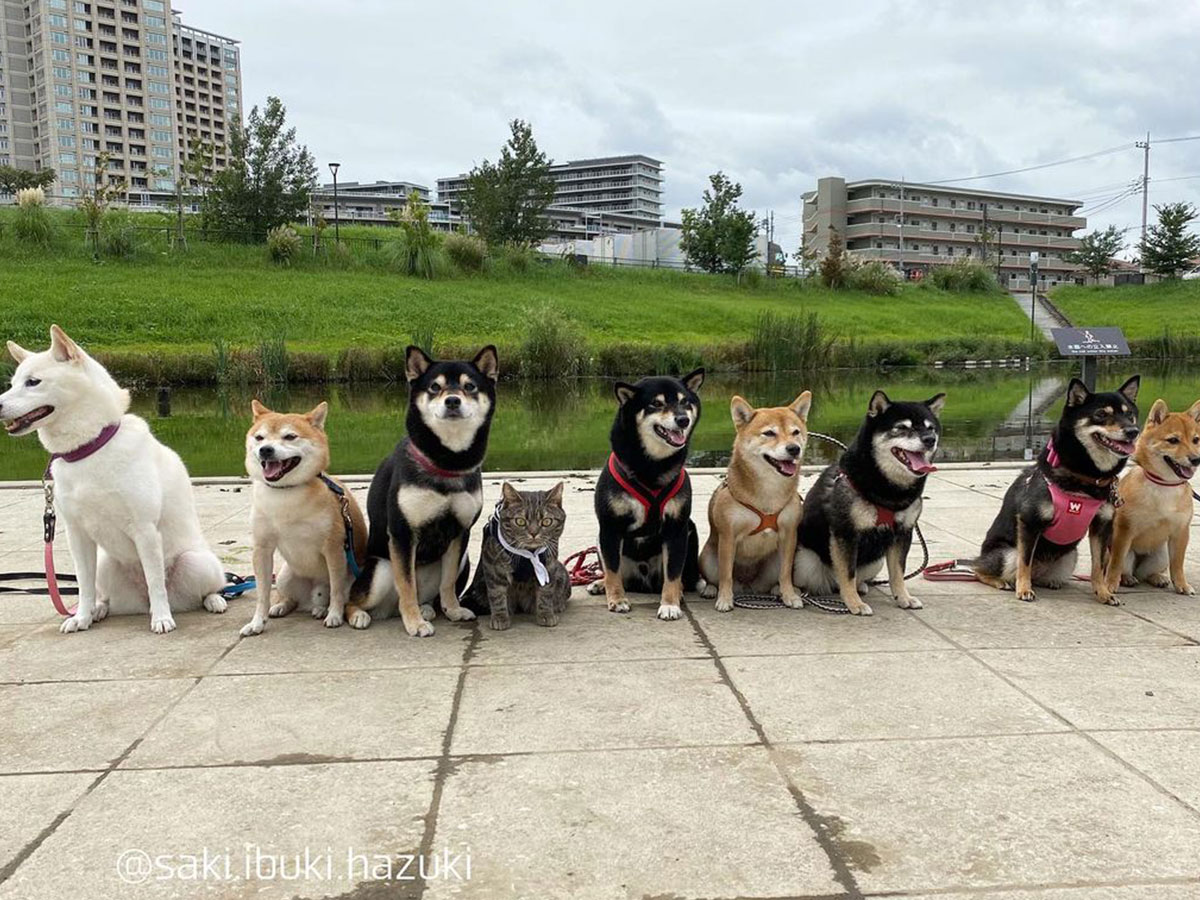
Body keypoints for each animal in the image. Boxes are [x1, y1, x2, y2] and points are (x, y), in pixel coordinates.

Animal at [0, 324, 226, 633]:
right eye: (12, 384)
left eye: (33, 382)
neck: (89, 449)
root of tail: (140, 602)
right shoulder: (77, 535)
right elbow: (83, 585)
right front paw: (82, 616)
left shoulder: (145, 530)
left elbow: (155, 582)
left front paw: (162, 618)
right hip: (106, 566)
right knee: (105, 595)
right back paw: (99, 610)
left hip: (196, 562)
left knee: (202, 589)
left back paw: (212, 600)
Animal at [460, 482, 568, 628]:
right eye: (520, 521)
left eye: (546, 521)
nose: (533, 533)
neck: (529, 554)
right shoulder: (493, 568)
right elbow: (497, 595)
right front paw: (500, 617)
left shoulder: (549, 565)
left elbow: (546, 593)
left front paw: (546, 614)